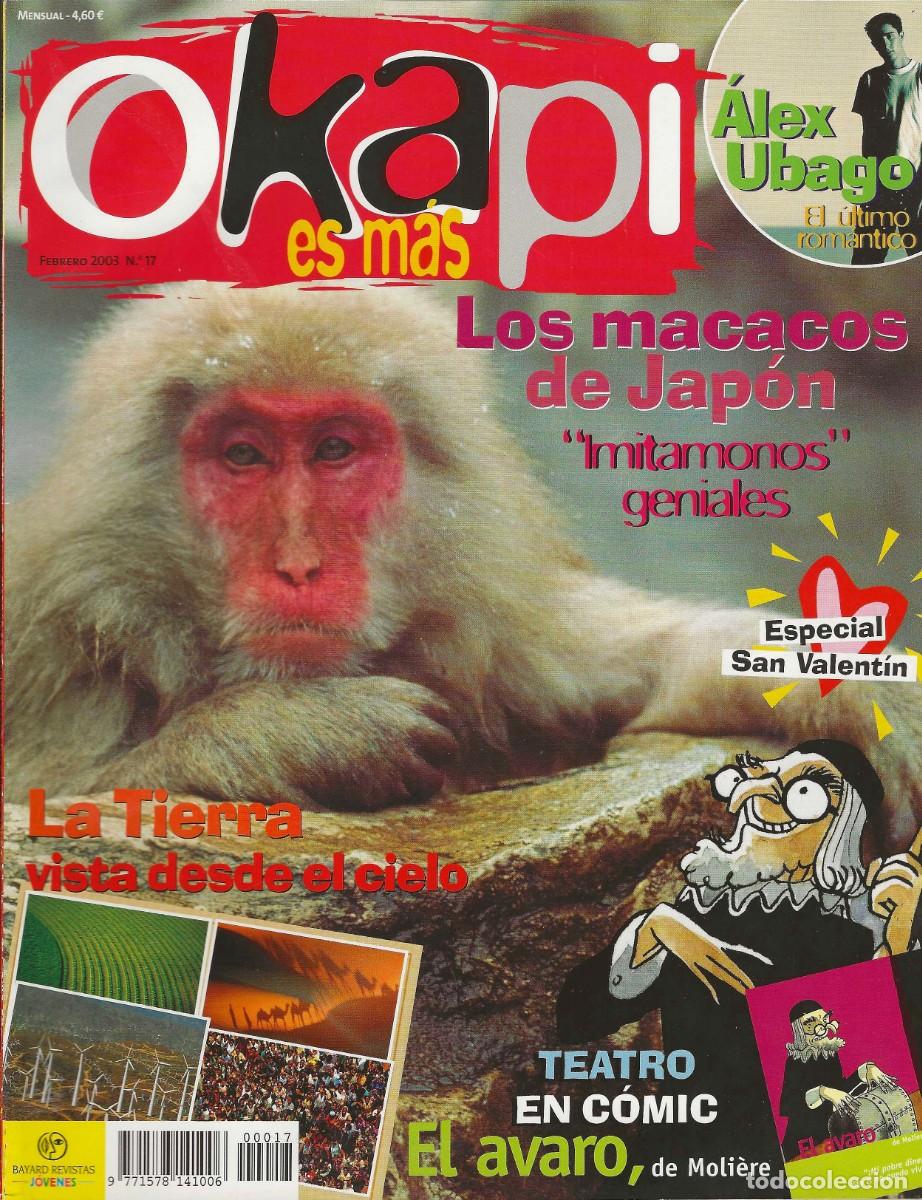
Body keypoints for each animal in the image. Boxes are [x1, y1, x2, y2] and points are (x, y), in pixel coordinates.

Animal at [6, 286, 921, 842]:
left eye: (335, 449)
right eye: (243, 456)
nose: (298, 566)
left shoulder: (498, 628)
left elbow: (649, 672)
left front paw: (855, 684)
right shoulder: (52, 647)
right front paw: (288, 730)